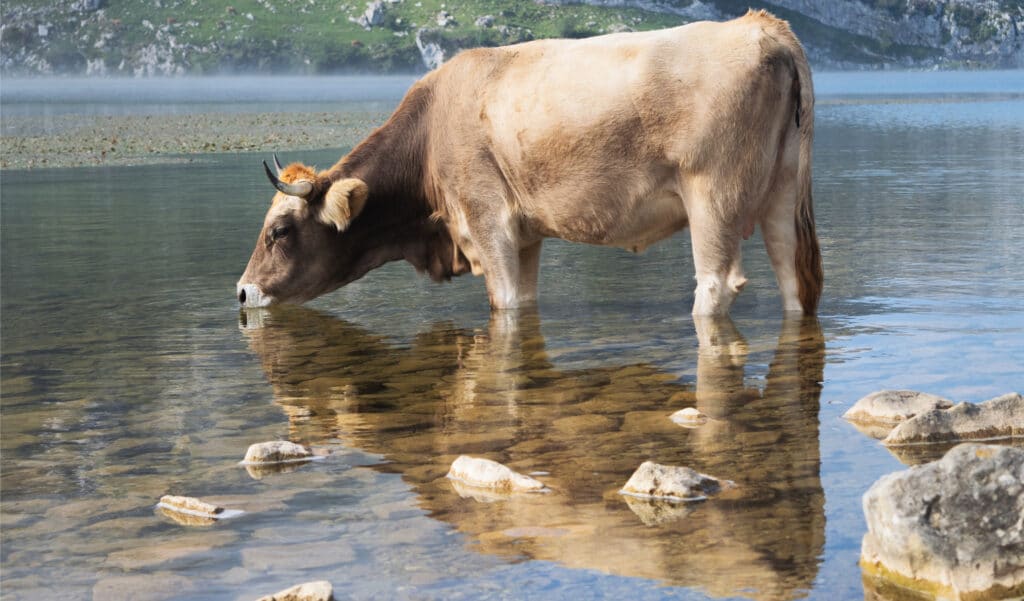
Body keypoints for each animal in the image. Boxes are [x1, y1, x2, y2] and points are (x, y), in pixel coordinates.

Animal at [237, 10, 823, 316]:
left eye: (279, 231)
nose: (241, 291)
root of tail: (762, 24)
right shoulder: (527, 234)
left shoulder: (487, 221)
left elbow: (508, 306)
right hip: (781, 192)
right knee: (792, 280)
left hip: (712, 198)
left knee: (716, 285)